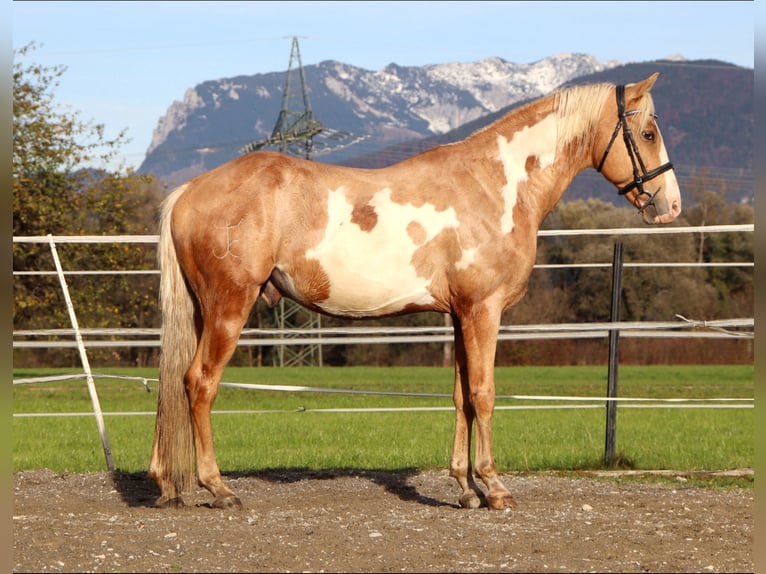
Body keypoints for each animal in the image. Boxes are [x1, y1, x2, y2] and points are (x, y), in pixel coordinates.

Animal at [149, 73, 681, 510]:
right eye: (648, 134)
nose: (670, 205)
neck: (496, 185)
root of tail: (189, 190)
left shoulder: (460, 315)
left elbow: (461, 397)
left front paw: (466, 488)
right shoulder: (484, 311)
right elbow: (484, 395)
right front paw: (495, 488)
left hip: (201, 311)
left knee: (177, 382)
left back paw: (169, 485)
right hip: (228, 308)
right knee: (199, 383)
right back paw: (217, 488)